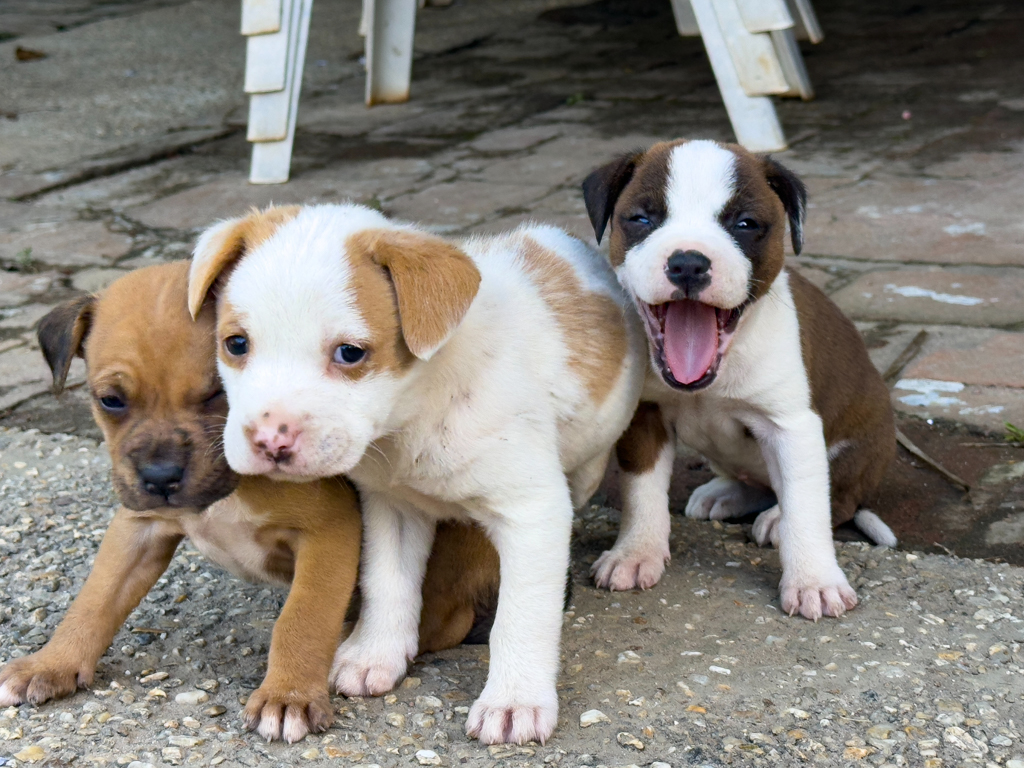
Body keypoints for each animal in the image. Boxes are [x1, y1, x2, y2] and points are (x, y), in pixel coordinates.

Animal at [0, 264, 497, 745]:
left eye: (216, 395)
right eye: (111, 401)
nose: (160, 478)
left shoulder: (328, 534)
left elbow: (302, 618)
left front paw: (288, 696)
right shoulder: (139, 528)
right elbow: (95, 599)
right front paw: (52, 663)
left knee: (443, 618)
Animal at [188, 204, 643, 745]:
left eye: (350, 353)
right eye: (236, 344)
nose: (269, 442)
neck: (415, 414)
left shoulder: (532, 511)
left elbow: (522, 613)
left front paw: (514, 700)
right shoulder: (391, 506)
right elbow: (387, 582)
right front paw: (374, 653)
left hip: (589, 461)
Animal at [585, 141, 897, 626]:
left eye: (745, 224)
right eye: (641, 219)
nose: (688, 262)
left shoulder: (791, 427)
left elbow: (807, 507)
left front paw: (814, 581)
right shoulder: (644, 417)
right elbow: (642, 490)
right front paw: (635, 553)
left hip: (857, 448)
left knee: (835, 499)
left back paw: (777, 520)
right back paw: (726, 495)